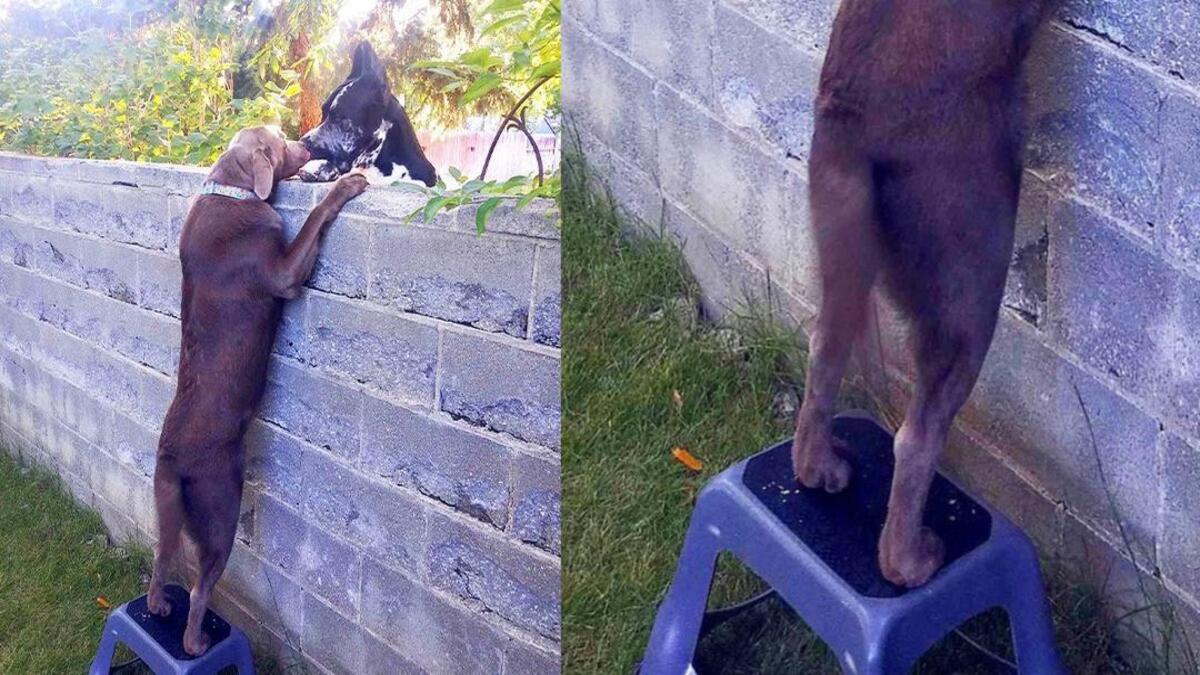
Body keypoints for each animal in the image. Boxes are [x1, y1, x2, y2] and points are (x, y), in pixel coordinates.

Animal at [144, 126, 364, 653]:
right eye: (282, 142)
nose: (308, 145)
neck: (231, 188)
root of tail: (171, 460)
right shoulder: (283, 273)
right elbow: (314, 219)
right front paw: (345, 185)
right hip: (222, 508)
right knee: (200, 587)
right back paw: (195, 642)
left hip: (166, 509)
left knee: (161, 557)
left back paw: (158, 605)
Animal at [796, 1, 1051, 583]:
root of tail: (853, 119)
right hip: (971, 288)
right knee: (916, 438)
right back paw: (910, 562)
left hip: (842, 248)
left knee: (824, 348)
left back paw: (818, 467)